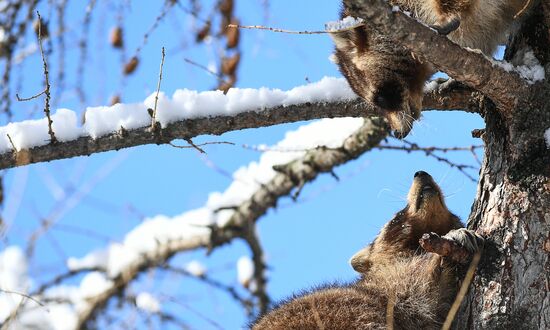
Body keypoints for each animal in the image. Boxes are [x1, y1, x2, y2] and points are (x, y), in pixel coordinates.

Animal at [252, 171, 486, 328]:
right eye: (397, 216)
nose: (422, 173)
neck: (414, 246)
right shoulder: (391, 283)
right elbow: (423, 285)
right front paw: (446, 245)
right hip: (335, 311)